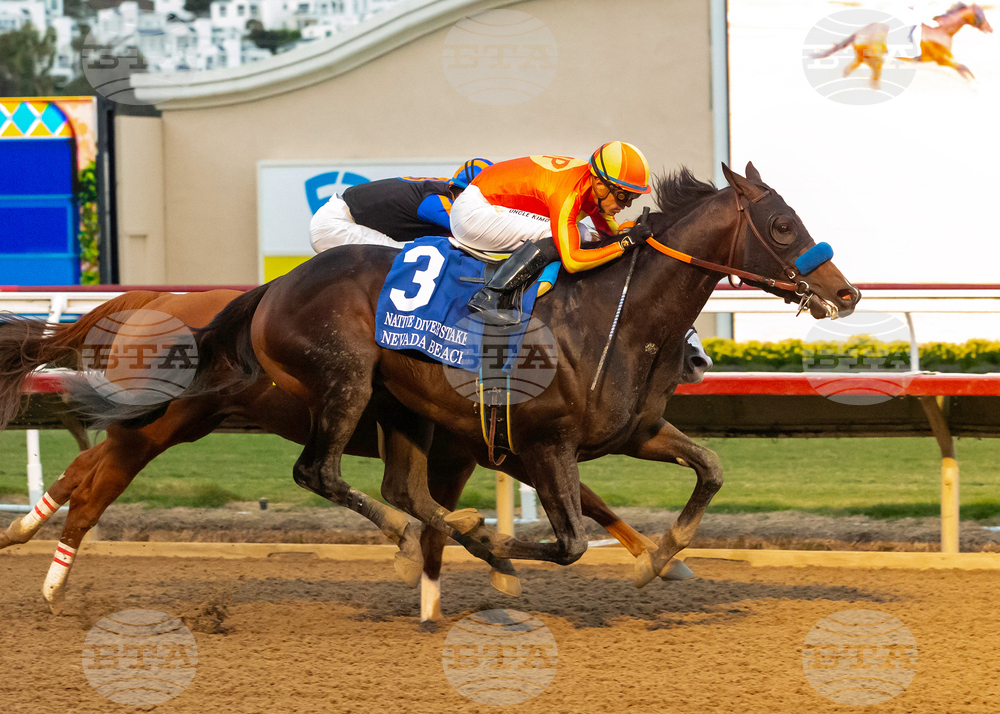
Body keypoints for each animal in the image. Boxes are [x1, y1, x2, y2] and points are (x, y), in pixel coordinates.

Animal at [0, 290, 711, 617]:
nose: (699, 359)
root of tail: (142, 298)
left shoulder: (490, 449)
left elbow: (580, 503)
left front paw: (662, 559)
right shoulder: (500, 447)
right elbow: (469, 517)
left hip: (163, 423)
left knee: (82, 469)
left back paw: (24, 531)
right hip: (155, 428)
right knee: (95, 490)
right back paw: (52, 580)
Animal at [69, 163, 860, 595]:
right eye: (782, 226)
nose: (844, 293)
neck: (613, 311)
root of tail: (272, 287)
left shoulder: (630, 432)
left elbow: (711, 468)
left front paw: (661, 558)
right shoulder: (542, 444)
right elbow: (567, 542)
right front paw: (497, 549)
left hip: (401, 408)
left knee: (397, 487)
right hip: (345, 382)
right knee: (318, 473)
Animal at [812, 2, 992, 85]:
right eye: (980, 15)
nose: (990, 29)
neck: (942, 31)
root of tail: (860, 32)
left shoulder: (945, 60)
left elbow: (964, 69)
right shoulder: (942, 60)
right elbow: (964, 69)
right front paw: (975, 85)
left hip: (863, 58)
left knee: (850, 71)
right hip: (871, 58)